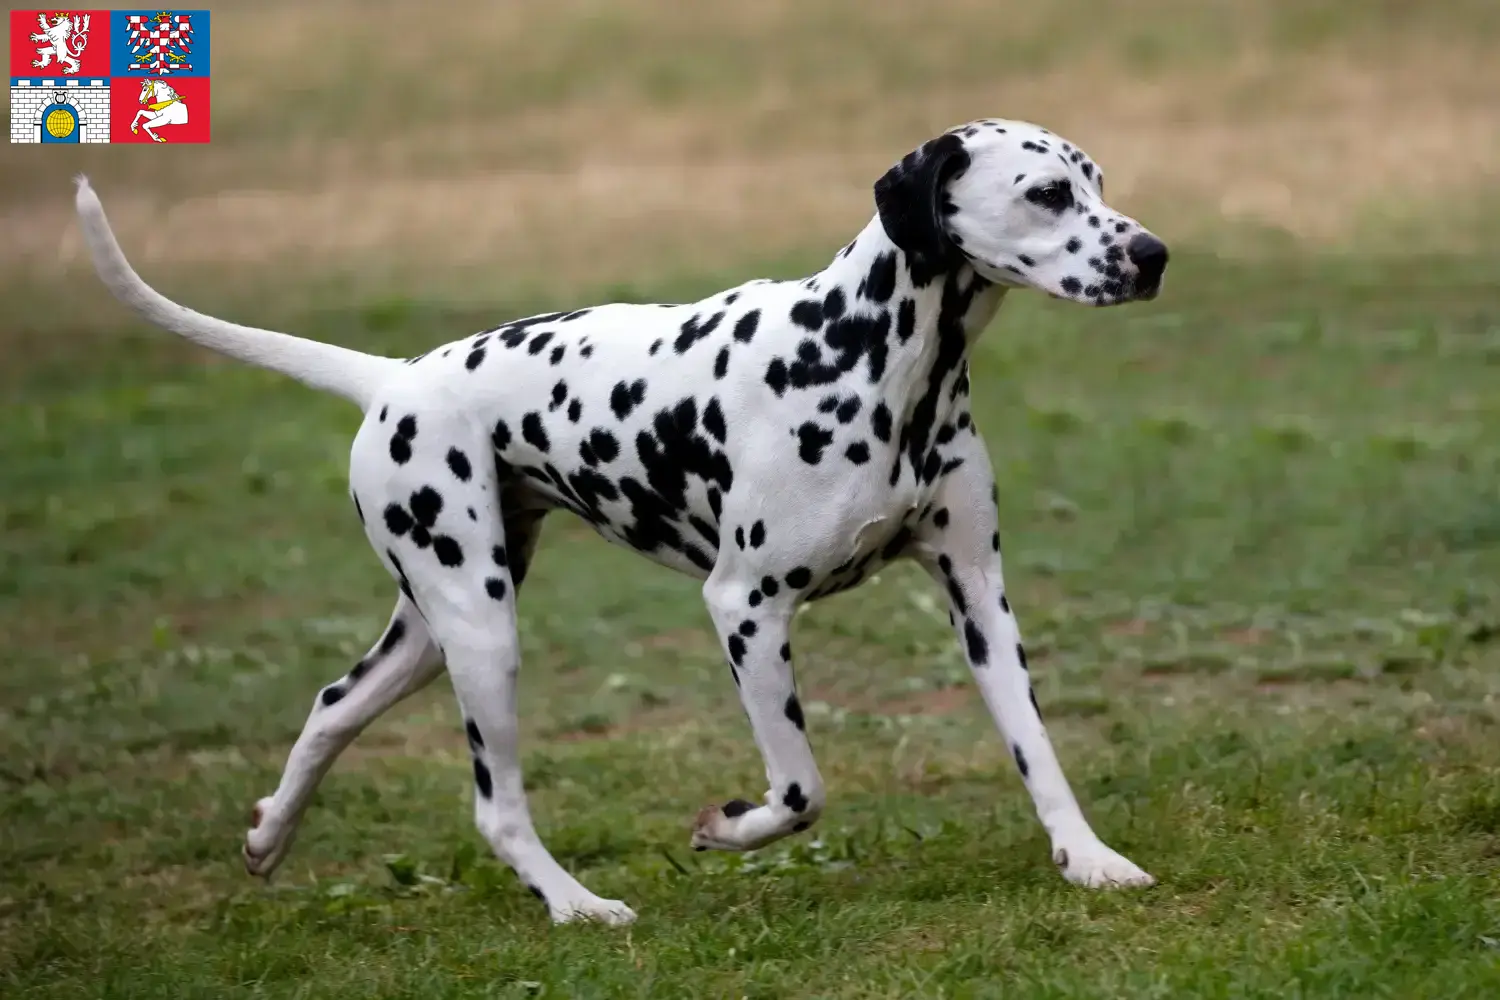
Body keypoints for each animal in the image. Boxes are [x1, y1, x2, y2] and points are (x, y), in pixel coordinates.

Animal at [73, 119, 1170, 929]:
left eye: (1097, 181)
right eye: (1046, 193)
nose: (1155, 253)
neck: (873, 355)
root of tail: (397, 379)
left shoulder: (978, 597)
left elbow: (1037, 747)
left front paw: (1089, 859)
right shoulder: (746, 608)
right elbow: (800, 789)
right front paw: (727, 827)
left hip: (431, 630)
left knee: (331, 706)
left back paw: (269, 836)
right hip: (483, 629)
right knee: (496, 807)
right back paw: (577, 905)